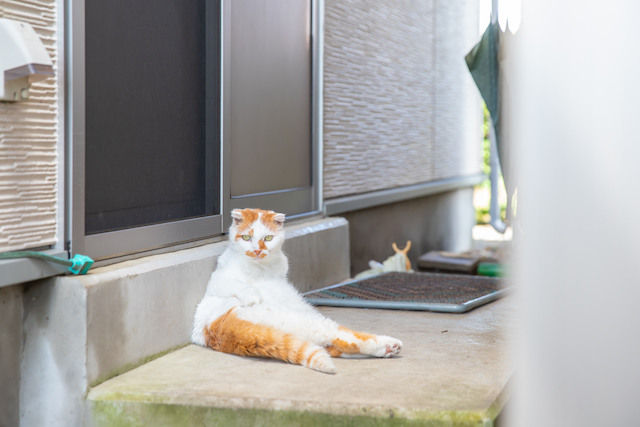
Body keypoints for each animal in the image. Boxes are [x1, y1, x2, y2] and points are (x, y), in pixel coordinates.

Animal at [191, 210, 400, 374]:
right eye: (246, 238)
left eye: (268, 238)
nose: (257, 251)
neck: (263, 270)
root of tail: (213, 330)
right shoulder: (218, 281)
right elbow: (239, 285)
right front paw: (253, 296)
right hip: (302, 319)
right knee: (343, 337)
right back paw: (388, 344)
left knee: (331, 346)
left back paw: (388, 350)